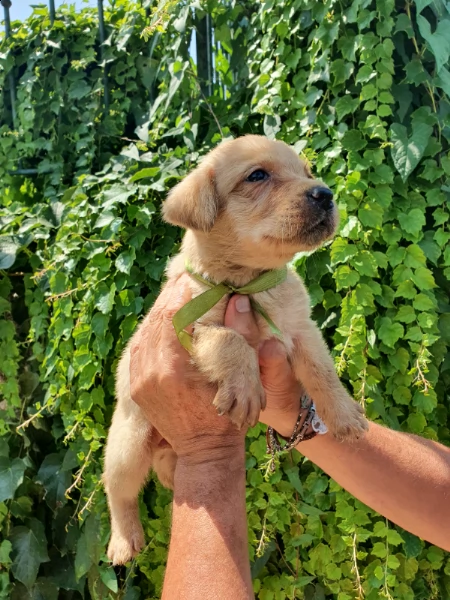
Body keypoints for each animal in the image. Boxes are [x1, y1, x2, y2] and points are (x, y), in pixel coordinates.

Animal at [103, 134, 368, 564]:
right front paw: (244, 389)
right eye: (257, 176)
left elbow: (323, 372)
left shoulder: (301, 330)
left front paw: (344, 416)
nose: (326, 193)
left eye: (306, 172)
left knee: (166, 470)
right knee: (117, 492)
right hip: (128, 444)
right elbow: (232, 341)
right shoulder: (191, 326)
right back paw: (124, 541)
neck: (248, 283)